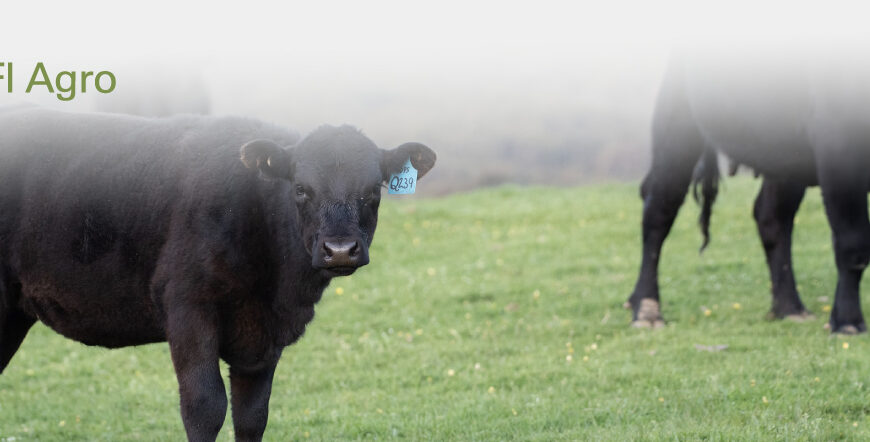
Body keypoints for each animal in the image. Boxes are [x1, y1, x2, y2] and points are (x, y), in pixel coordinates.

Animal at [0, 107, 436, 442]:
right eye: (300, 189)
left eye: (374, 191)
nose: (340, 249)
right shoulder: (188, 306)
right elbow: (205, 406)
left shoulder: (265, 337)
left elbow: (252, 414)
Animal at [628, 51, 870, 334]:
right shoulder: (839, 146)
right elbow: (853, 243)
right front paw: (848, 321)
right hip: (678, 125)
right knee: (658, 211)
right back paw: (647, 309)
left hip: (785, 154)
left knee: (771, 217)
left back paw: (789, 308)